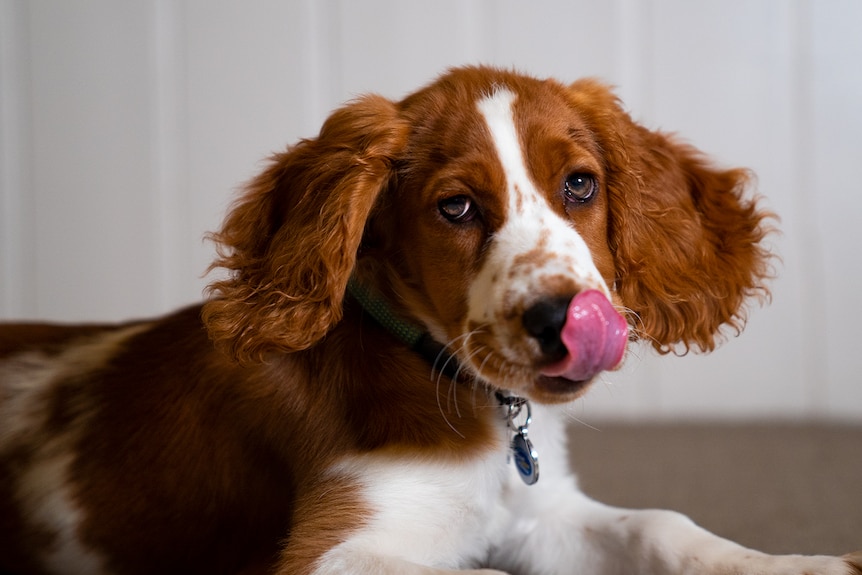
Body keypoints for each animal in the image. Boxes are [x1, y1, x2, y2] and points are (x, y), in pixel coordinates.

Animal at [1, 65, 862, 572]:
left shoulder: (541, 514)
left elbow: (664, 525)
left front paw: (801, 564)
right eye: (456, 207)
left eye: (580, 184)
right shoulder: (340, 547)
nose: (563, 318)